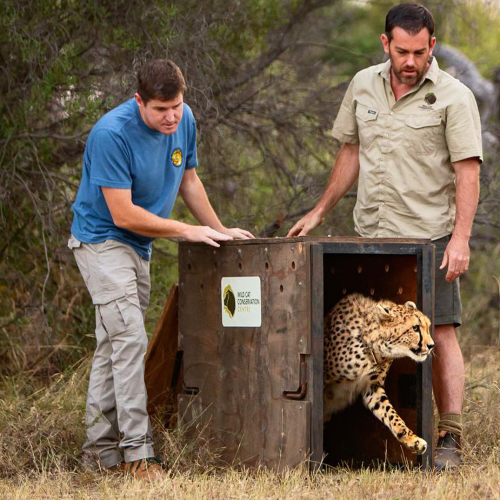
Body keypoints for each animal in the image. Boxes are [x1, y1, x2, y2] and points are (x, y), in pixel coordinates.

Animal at [324, 292, 434, 456]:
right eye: (415, 328)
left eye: (427, 327)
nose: (431, 345)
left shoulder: (372, 388)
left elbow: (390, 413)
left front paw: (411, 439)